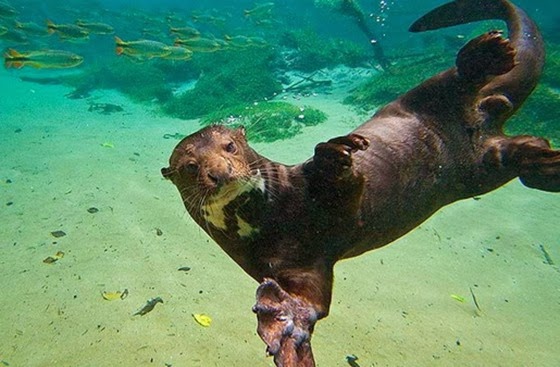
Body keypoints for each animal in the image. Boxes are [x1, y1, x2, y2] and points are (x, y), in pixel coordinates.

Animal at [160, 1, 556, 366]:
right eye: (191, 166)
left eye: (229, 146)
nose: (219, 171)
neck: (270, 220)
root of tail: (486, 114)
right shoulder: (296, 266)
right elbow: (309, 303)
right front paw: (285, 331)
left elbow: (344, 181)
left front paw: (334, 154)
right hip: (476, 173)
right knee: (509, 153)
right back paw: (545, 163)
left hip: (420, 99)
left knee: (452, 79)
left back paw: (485, 55)